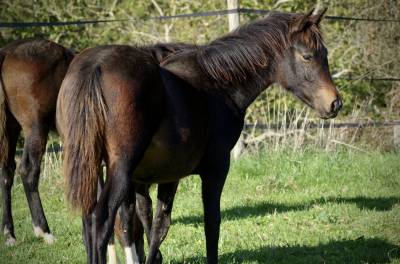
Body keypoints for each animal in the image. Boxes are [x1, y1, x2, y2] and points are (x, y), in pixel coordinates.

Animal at [0, 37, 73, 245]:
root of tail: (7, 52)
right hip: (36, 128)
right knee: (28, 171)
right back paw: (44, 230)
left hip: (11, 128)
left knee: (7, 172)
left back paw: (9, 234)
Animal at [57, 8, 342, 264]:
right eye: (307, 56)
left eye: (325, 54)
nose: (335, 103)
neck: (218, 85)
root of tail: (95, 65)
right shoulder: (216, 168)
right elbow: (210, 222)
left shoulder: (166, 175)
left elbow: (157, 225)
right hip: (119, 168)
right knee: (101, 219)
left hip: (93, 165)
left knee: (91, 220)